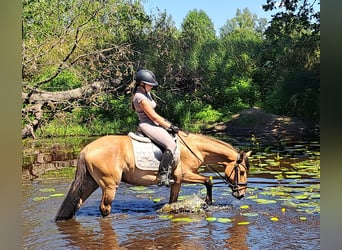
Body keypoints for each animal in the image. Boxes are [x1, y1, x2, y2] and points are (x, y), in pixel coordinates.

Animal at [54, 131, 251, 221]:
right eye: (241, 172)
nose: (240, 194)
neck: (193, 148)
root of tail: (86, 149)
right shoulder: (185, 175)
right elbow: (208, 180)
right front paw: (207, 202)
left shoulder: (176, 181)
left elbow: (173, 201)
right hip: (109, 185)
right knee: (104, 208)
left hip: (91, 183)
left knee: (77, 203)